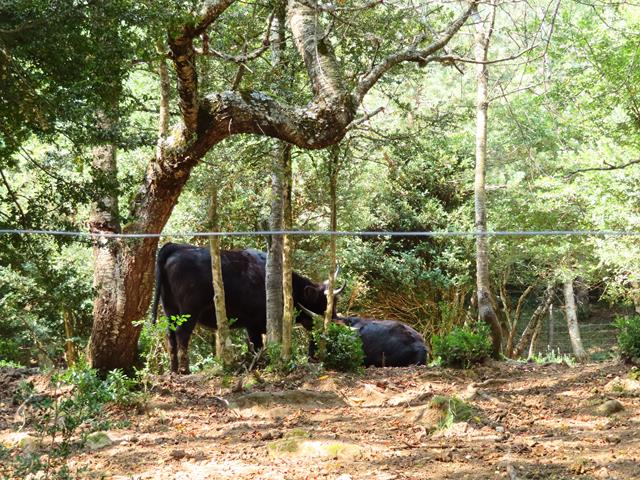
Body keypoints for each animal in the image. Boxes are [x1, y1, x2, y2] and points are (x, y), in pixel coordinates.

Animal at [151, 242, 344, 373]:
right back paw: (185, 370)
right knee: (182, 334)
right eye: (323, 304)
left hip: (170, 309)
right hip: (189, 311)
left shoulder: (251, 326)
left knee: (170, 335)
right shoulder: (254, 325)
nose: (335, 321)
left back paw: (174, 369)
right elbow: (257, 346)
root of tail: (176, 246)